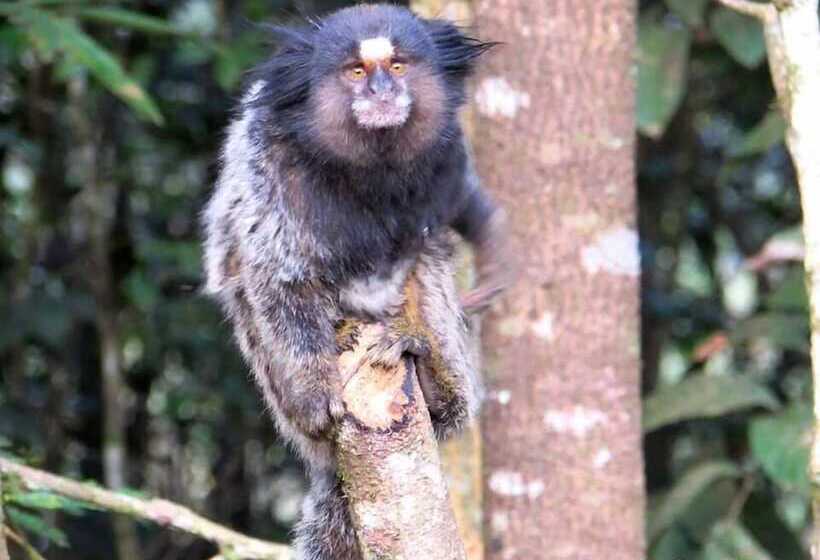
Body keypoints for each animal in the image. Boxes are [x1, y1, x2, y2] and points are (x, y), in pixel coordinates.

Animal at [201, 5, 508, 559]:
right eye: (357, 72)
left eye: (399, 66)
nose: (382, 91)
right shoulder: (273, 170)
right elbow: (277, 277)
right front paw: (313, 389)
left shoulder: (445, 155)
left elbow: (455, 215)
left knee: (427, 258)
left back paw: (439, 388)